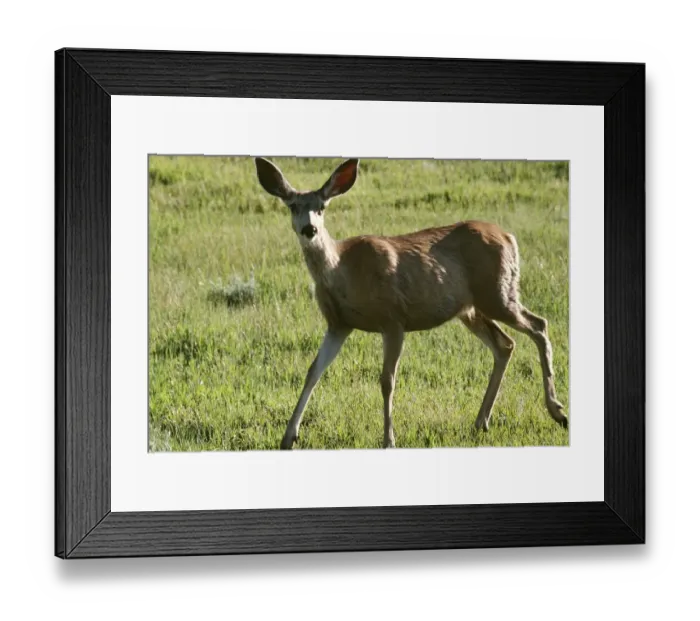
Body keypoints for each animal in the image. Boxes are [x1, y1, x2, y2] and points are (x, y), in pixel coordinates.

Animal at [254, 157, 568, 450]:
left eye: (322, 207)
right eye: (293, 206)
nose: (310, 229)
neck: (343, 270)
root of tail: (510, 237)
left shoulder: (393, 318)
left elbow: (387, 380)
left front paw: (388, 439)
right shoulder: (338, 324)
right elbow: (312, 372)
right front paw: (288, 437)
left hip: (497, 294)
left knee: (539, 325)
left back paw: (557, 411)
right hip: (471, 309)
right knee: (505, 344)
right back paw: (482, 422)